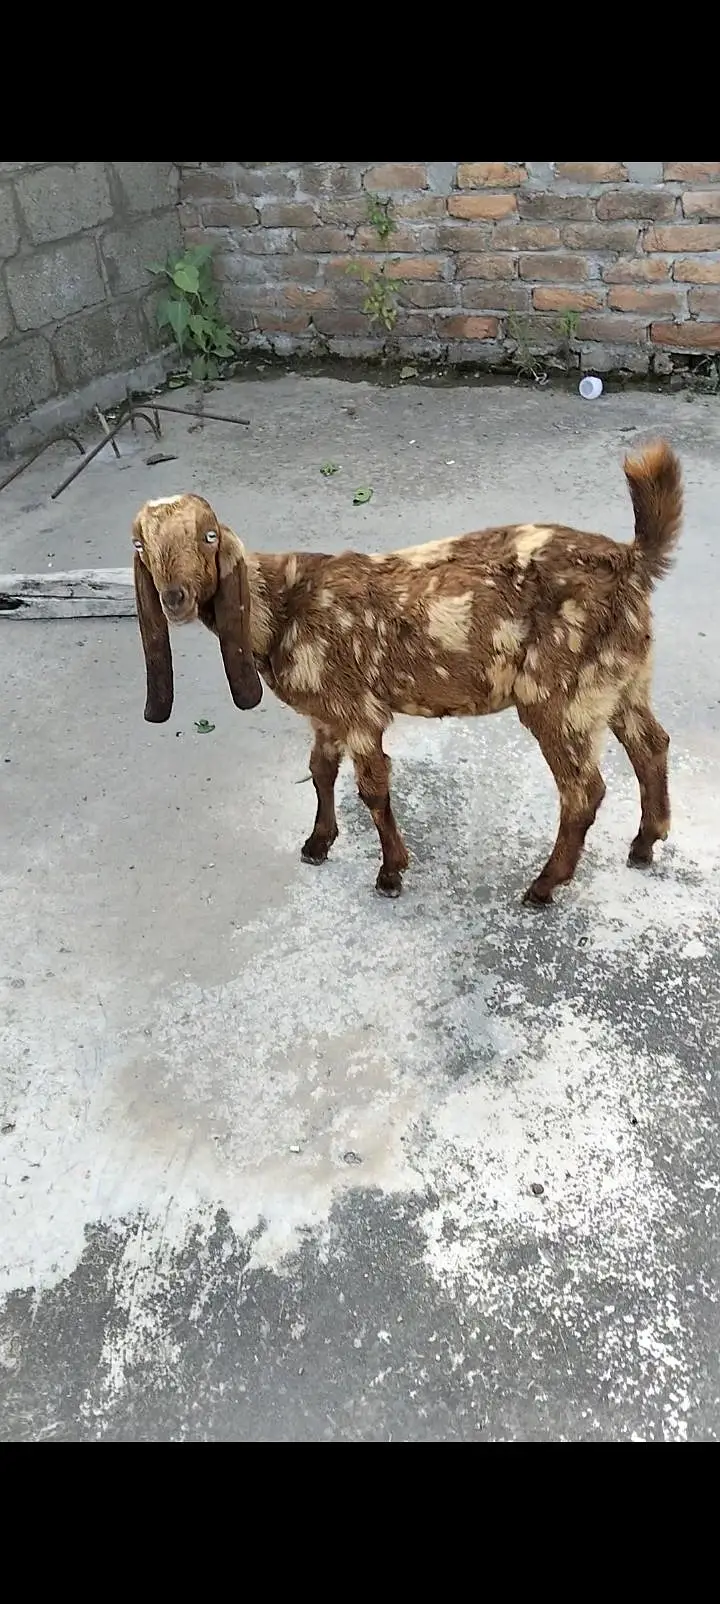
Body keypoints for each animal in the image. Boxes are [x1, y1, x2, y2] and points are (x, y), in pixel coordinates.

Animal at [131, 439, 682, 904]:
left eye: (208, 537)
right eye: (141, 547)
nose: (174, 597)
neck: (284, 603)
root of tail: (631, 560)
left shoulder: (357, 709)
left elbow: (372, 788)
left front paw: (390, 874)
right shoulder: (325, 713)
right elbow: (319, 771)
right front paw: (317, 844)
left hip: (560, 695)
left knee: (584, 791)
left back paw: (544, 886)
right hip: (621, 679)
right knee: (651, 744)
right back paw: (644, 844)